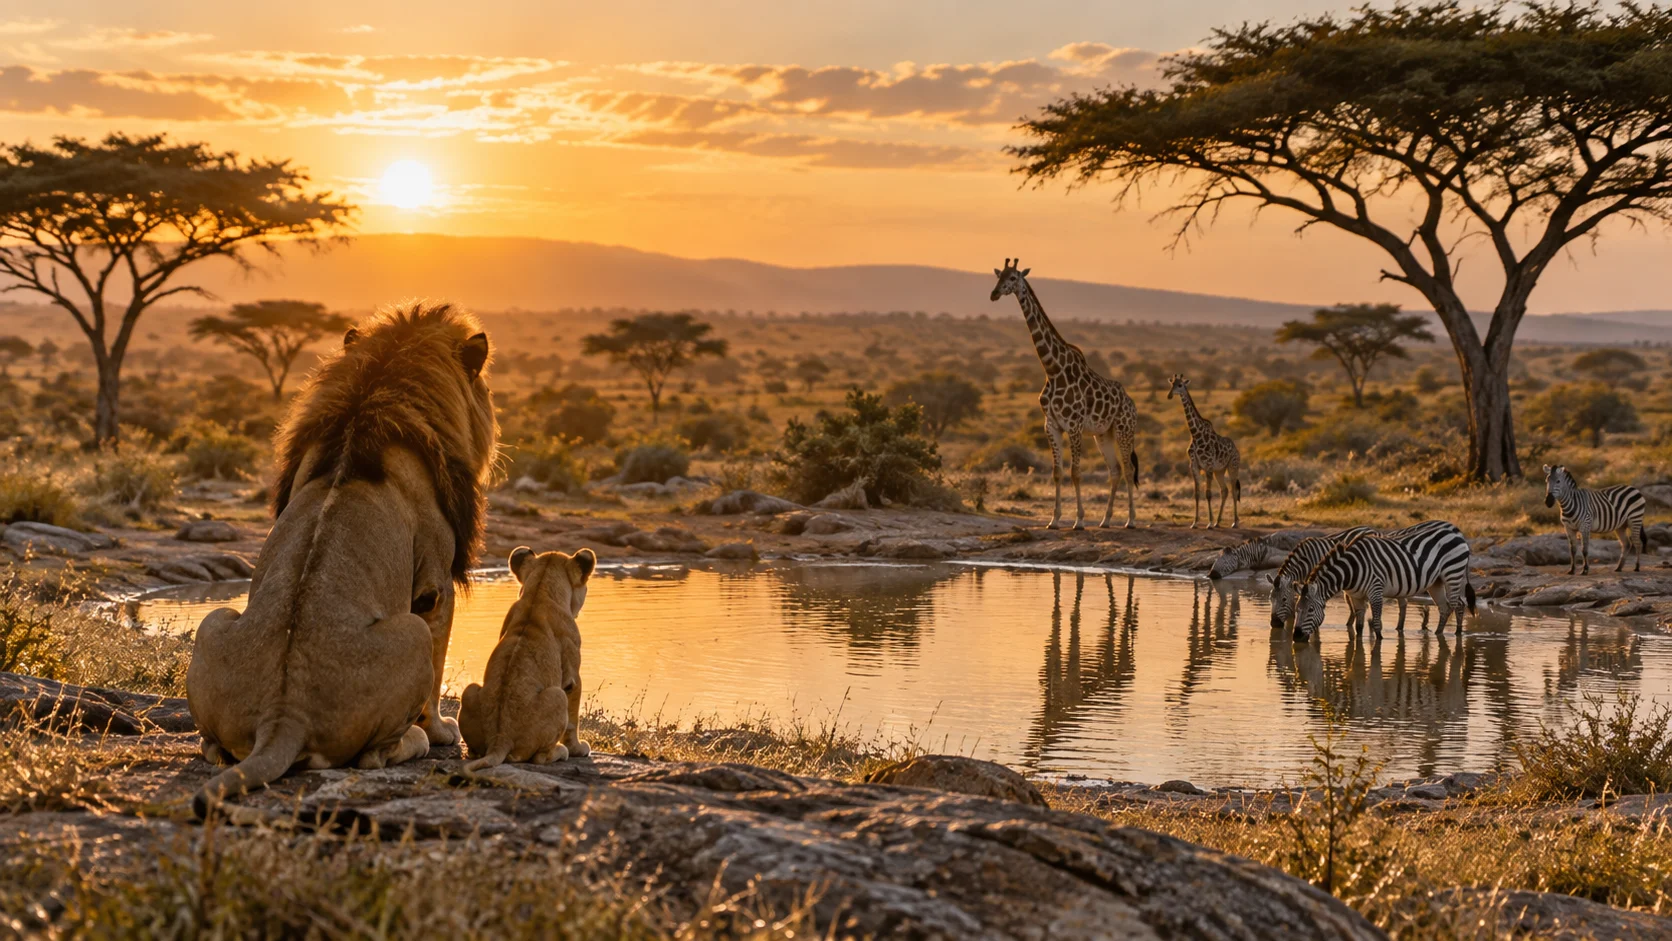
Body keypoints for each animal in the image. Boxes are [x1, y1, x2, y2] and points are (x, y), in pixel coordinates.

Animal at [186, 302, 498, 816]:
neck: (370, 401)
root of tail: (283, 715)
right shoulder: (433, 585)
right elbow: (437, 670)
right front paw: (441, 731)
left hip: (215, 619)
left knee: (214, 746)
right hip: (409, 633)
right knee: (374, 755)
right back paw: (417, 741)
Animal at [458, 546, 595, 771]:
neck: (539, 590)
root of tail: (500, 739)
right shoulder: (571, 677)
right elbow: (573, 719)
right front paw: (578, 749)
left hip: (469, 690)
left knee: (475, 751)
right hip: (557, 696)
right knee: (538, 757)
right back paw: (561, 751)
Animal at [991, 259, 1140, 529]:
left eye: (1014, 278)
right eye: (999, 276)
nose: (994, 294)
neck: (1052, 369)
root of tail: (1132, 404)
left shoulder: (1074, 425)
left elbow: (1075, 473)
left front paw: (1078, 520)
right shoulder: (1051, 425)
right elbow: (1057, 473)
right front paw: (1054, 519)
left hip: (1124, 429)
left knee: (1128, 469)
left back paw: (1130, 520)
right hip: (1103, 434)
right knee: (1114, 470)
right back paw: (1105, 520)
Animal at [1167, 374, 1241, 528]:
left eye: (1180, 385)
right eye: (1171, 384)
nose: (1169, 395)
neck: (1195, 434)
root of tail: (1237, 450)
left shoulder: (1208, 465)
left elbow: (1208, 494)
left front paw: (1209, 523)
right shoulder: (1194, 465)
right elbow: (1197, 494)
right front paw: (1195, 522)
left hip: (1233, 466)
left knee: (1233, 491)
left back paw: (1234, 522)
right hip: (1220, 470)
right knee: (1224, 490)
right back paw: (1218, 522)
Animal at [1292, 530, 1476, 641]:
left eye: (1310, 610)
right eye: (1296, 609)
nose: (1295, 637)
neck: (1352, 570)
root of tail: (1457, 535)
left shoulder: (1375, 590)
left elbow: (1376, 624)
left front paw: (1378, 643)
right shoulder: (1356, 596)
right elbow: (1359, 626)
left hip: (1453, 573)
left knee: (1458, 604)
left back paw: (1457, 634)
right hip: (1435, 582)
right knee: (1445, 607)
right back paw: (1438, 633)